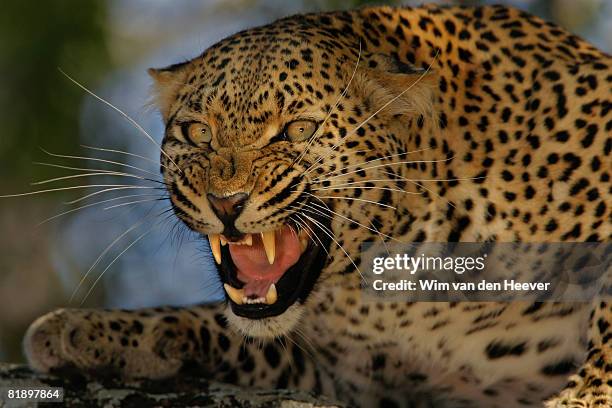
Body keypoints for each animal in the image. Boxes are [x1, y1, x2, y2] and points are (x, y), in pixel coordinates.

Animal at [21, 3, 608, 408]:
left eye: (299, 130)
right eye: (199, 133)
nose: (225, 202)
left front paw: (583, 395)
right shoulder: (358, 376)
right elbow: (226, 326)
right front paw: (87, 330)